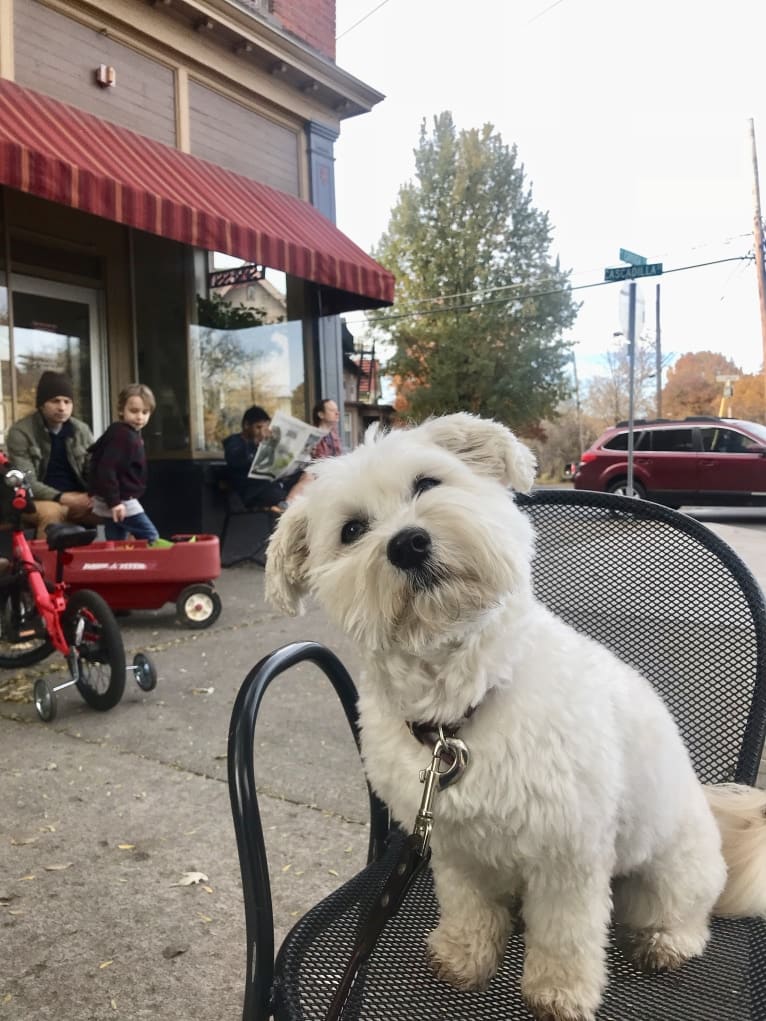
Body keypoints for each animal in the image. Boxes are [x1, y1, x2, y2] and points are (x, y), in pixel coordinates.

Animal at [267, 412, 766, 1021]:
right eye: (352, 530)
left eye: (427, 484)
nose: (408, 543)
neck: (459, 709)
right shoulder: (452, 843)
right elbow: (467, 904)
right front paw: (466, 954)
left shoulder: (568, 852)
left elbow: (565, 934)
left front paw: (559, 992)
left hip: (670, 870)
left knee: (686, 917)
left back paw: (665, 942)